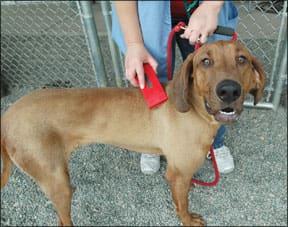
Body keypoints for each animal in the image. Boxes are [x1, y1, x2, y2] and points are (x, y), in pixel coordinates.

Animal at [0, 41, 266, 227]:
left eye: (241, 59)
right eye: (205, 61)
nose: (229, 90)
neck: (195, 110)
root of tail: (7, 116)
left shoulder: (180, 171)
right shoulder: (176, 173)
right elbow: (182, 206)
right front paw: (188, 219)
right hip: (56, 180)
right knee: (64, 219)